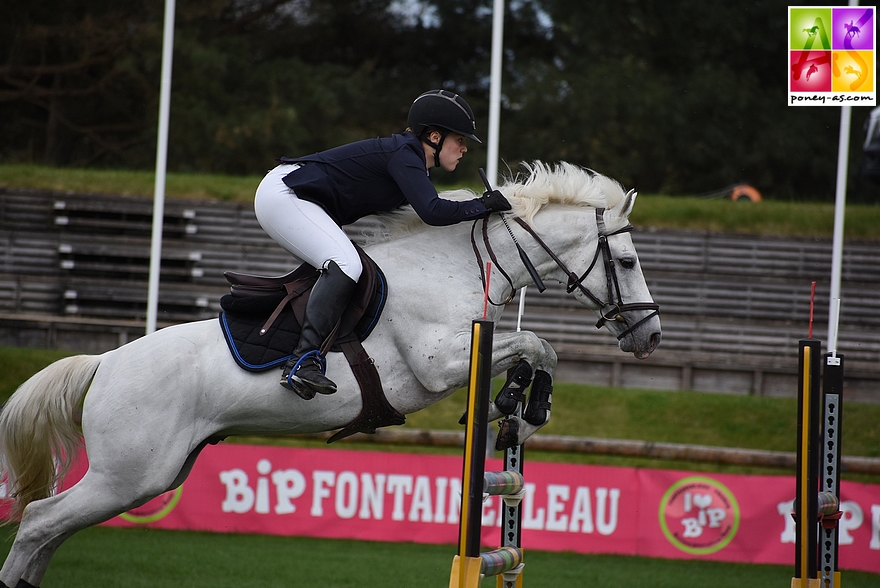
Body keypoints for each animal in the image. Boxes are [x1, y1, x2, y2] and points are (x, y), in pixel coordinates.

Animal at [0, 161, 660, 588]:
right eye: (627, 261)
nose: (651, 336)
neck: (456, 267)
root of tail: (105, 362)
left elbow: (537, 350)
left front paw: (517, 408)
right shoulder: (440, 364)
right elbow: (537, 343)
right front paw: (524, 405)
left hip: (149, 476)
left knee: (49, 534)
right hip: (128, 475)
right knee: (37, 524)